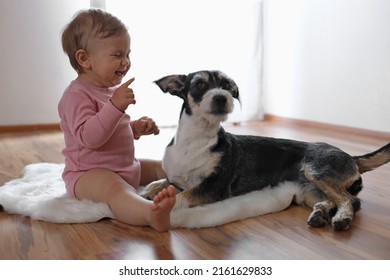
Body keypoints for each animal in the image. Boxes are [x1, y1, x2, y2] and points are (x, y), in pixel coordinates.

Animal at [142, 69, 390, 230]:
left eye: (228, 87)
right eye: (200, 85)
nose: (222, 98)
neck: (195, 140)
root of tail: (352, 157)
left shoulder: (214, 187)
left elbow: (181, 197)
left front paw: (159, 204)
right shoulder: (176, 177)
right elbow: (162, 182)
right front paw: (149, 189)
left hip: (318, 172)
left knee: (351, 200)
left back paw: (342, 219)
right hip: (309, 190)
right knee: (333, 200)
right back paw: (320, 214)